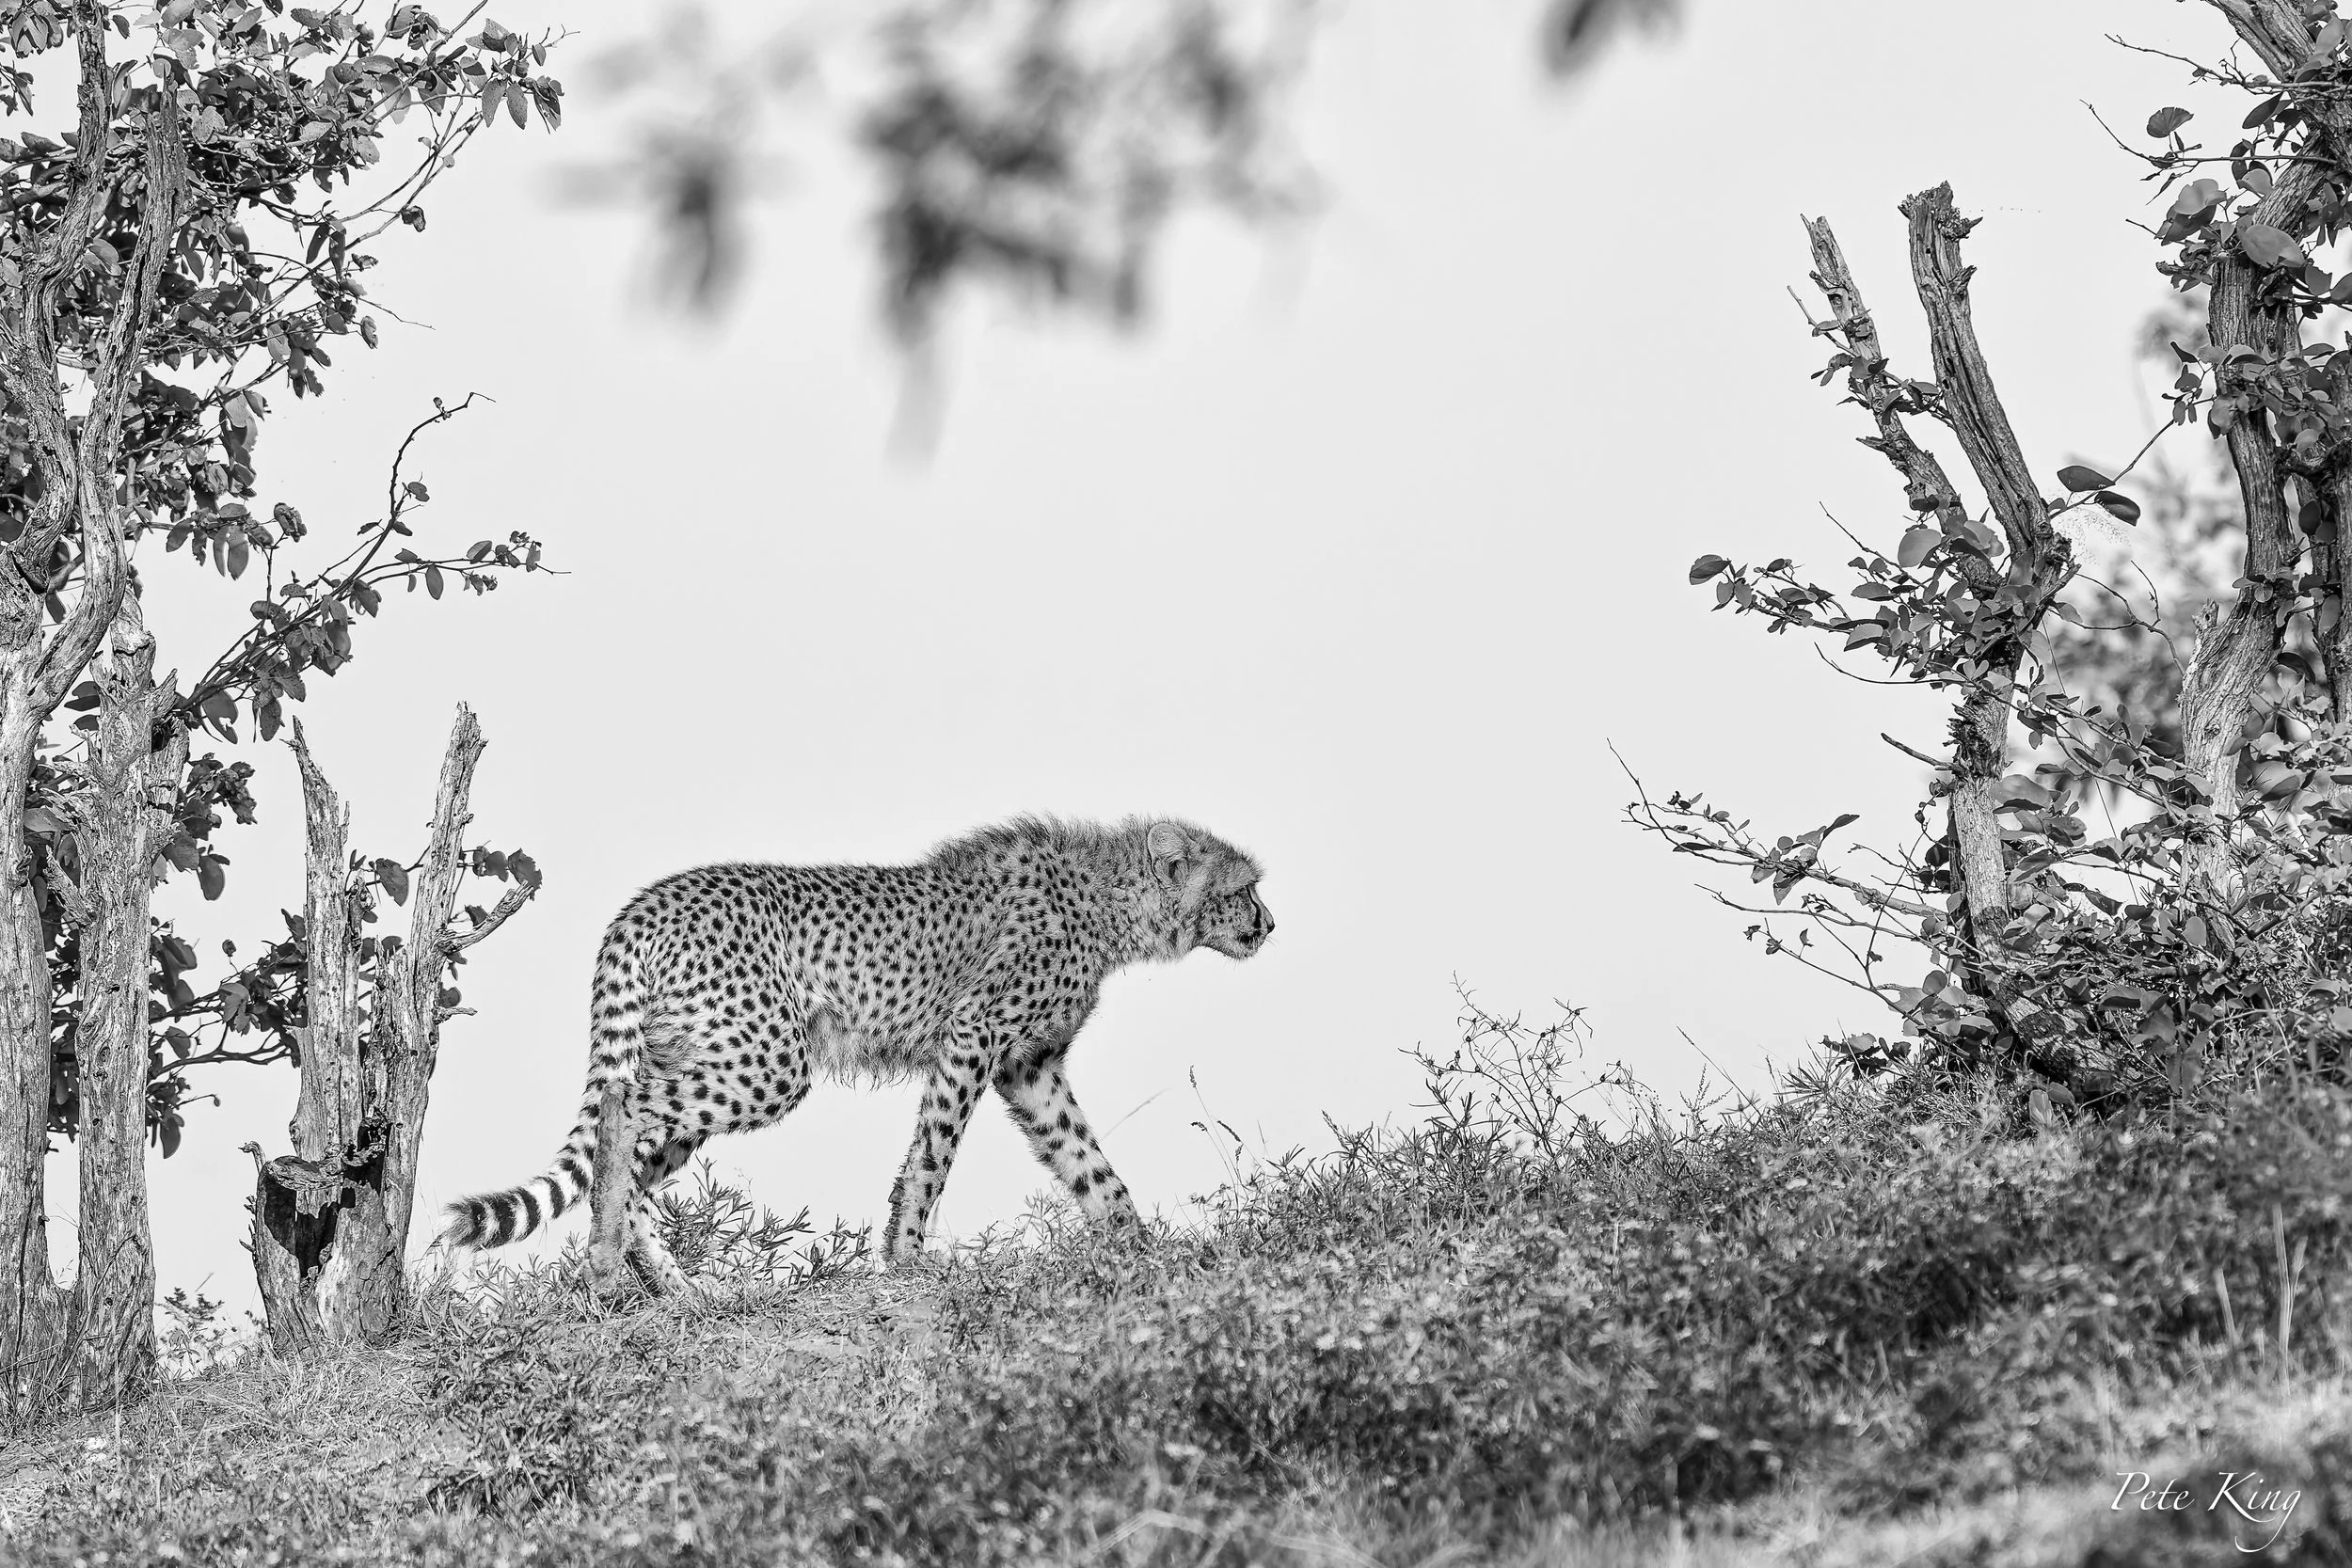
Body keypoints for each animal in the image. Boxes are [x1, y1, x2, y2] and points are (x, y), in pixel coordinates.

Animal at [441, 815, 1273, 1292]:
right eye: (1245, 888)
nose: (1269, 923)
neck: (1108, 897)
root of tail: (644, 903)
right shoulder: (973, 1037)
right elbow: (933, 1154)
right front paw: (905, 1259)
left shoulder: (1029, 1068)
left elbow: (1089, 1163)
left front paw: (1140, 1248)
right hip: (768, 1062)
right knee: (623, 1113)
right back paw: (608, 1266)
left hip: (702, 1056)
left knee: (643, 1151)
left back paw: (681, 1290)